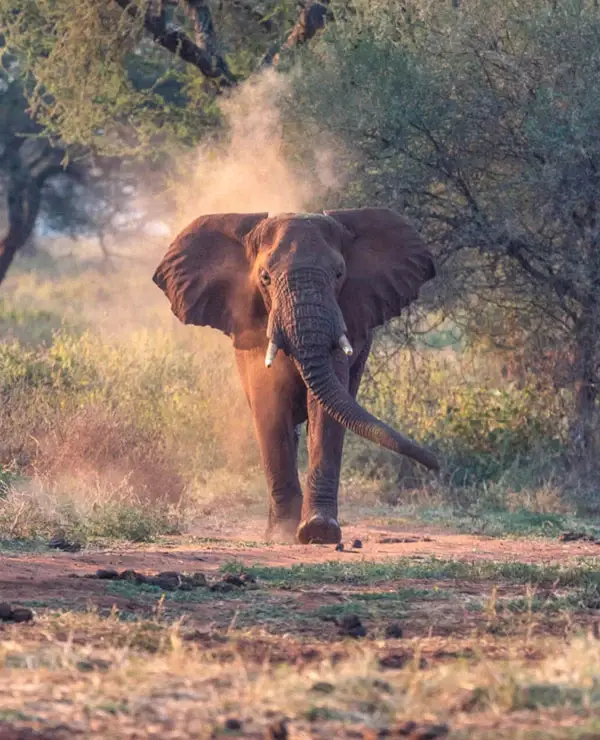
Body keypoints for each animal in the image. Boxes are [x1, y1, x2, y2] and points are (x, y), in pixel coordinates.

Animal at [152, 207, 438, 544]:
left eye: (339, 274)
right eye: (265, 278)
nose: (436, 463)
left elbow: (326, 412)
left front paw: (319, 530)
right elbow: (270, 406)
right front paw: (283, 534)